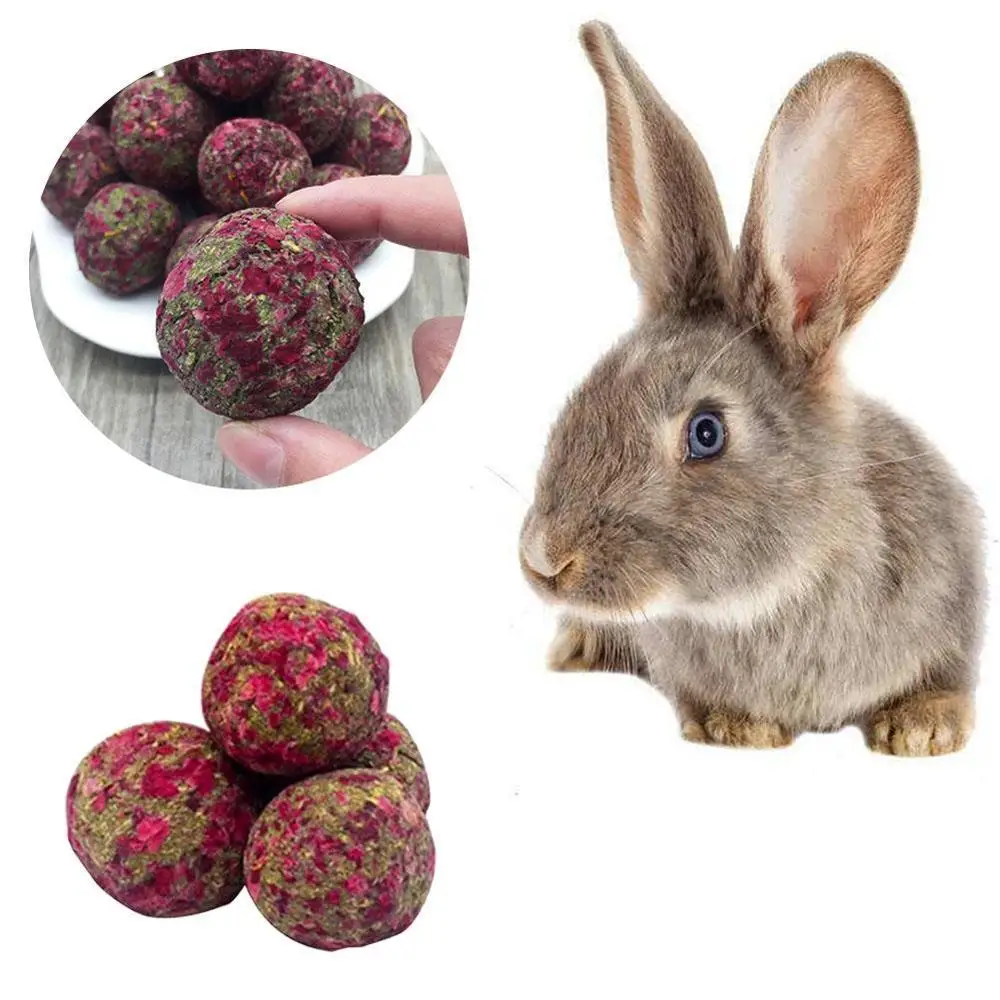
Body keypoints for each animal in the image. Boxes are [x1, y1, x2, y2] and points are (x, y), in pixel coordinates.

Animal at [518, 21, 986, 755]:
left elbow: (947, 678)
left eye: (706, 433)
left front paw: (922, 728)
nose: (544, 559)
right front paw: (735, 725)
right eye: (581, 399)